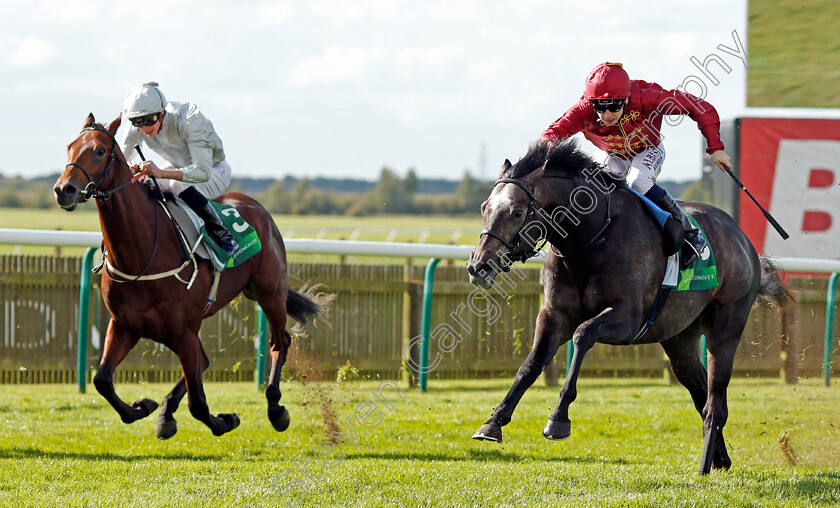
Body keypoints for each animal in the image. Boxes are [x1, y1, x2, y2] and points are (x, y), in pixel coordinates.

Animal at [52, 113, 322, 438]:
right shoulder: (125, 325)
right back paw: (167, 413)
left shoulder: (183, 330)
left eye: (100, 150)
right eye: (69, 147)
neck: (143, 252)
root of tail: (257, 208)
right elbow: (102, 380)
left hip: (269, 293)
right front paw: (143, 406)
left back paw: (275, 409)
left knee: (279, 342)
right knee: (205, 360)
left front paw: (226, 420)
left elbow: (199, 404)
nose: (63, 189)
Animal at [470, 139, 792, 472]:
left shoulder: (626, 319)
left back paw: (704, 466)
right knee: (701, 394)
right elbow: (530, 364)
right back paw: (720, 459)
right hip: (679, 339)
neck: (590, 238)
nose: (479, 266)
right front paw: (493, 423)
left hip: (726, 330)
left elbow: (583, 334)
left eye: (517, 211)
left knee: (715, 402)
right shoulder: (554, 315)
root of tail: (743, 239)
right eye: (484, 208)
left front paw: (558, 419)